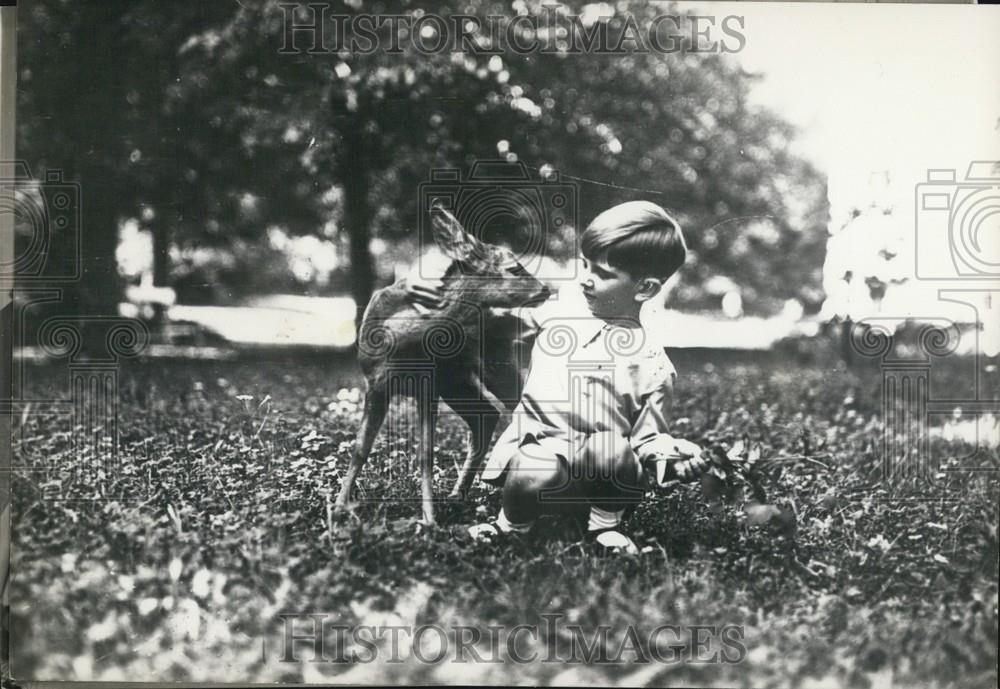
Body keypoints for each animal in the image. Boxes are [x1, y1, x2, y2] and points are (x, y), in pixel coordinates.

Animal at [334, 205, 552, 526]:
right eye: (514, 267)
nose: (547, 288)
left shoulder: (429, 386)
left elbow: (425, 454)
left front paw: (428, 518)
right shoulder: (375, 384)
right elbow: (361, 447)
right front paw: (339, 507)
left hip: (500, 369)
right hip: (457, 381)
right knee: (486, 416)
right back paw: (457, 493)